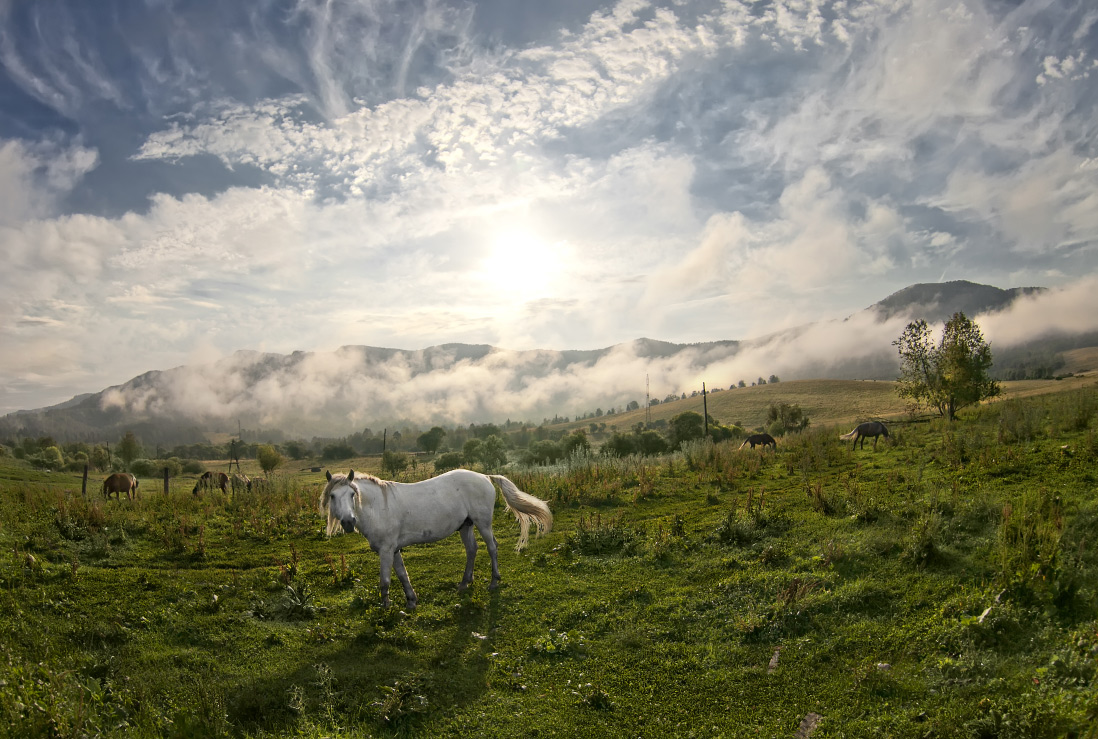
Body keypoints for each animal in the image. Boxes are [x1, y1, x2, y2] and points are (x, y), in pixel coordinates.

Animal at [320, 469, 553, 606]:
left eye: (352, 494)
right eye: (332, 496)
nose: (348, 522)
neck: (379, 506)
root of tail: (485, 477)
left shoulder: (386, 550)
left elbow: (384, 582)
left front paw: (385, 610)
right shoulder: (393, 549)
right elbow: (402, 574)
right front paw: (411, 601)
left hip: (483, 523)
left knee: (492, 547)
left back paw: (494, 581)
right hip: (465, 526)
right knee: (472, 550)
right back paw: (464, 583)